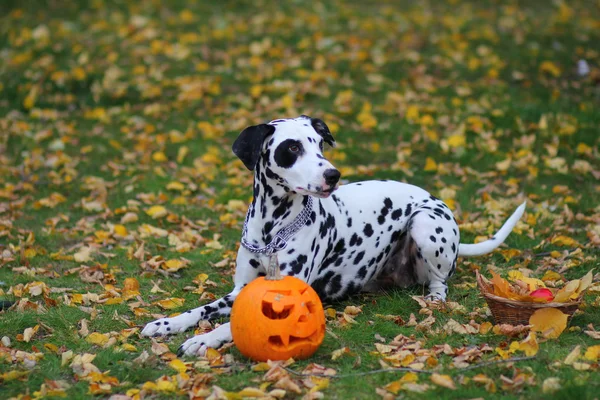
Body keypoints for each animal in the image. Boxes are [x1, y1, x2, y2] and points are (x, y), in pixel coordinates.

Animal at [141, 114, 524, 354]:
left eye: (320, 145)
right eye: (292, 147)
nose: (333, 175)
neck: (271, 230)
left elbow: (235, 325)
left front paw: (203, 341)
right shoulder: (240, 290)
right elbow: (202, 310)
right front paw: (167, 323)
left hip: (426, 225)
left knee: (440, 282)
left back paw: (434, 298)